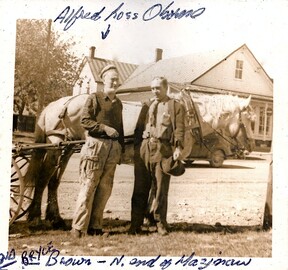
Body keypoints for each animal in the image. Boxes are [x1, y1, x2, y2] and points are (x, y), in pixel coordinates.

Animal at [23, 90, 254, 228]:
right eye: (250, 119)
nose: (252, 145)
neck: (190, 115)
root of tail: (57, 104)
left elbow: (153, 186)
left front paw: (148, 217)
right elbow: (156, 187)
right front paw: (152, 217)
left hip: (67, 148)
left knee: (54, 182)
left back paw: (55, 218)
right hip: (56, 146)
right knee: (43, 180)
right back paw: (34, 216)